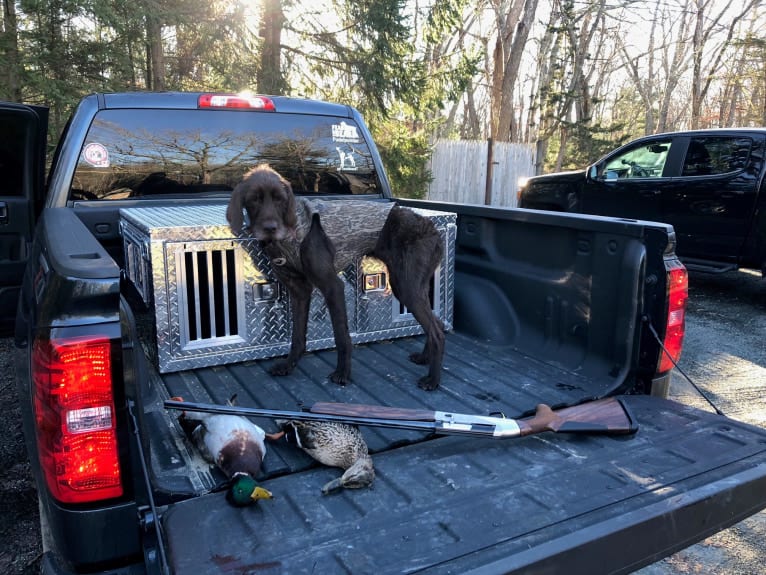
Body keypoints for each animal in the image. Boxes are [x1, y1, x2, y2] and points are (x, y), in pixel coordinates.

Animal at [225, 165, 448, 392]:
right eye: (254, 199)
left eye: (280, 199)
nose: (270, 228)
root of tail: (431, 228)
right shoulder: (299, 291)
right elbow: (297, 336)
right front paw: (288, 366)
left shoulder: (333, 287)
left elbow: (341, 336)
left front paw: (343, 374)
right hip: (415, 286)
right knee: (437, 323)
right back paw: (424, 358)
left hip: (405, 286)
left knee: (437, 332)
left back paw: (433, 379)